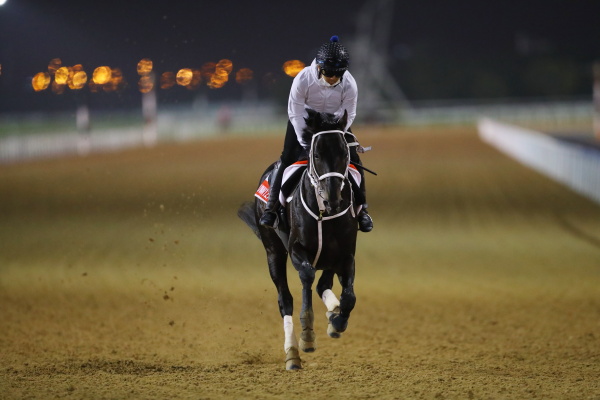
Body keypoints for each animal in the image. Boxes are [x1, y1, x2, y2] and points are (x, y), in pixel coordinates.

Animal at [238, 108, 360, 368]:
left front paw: (337, 320)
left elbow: (349, 297)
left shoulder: (346, 255)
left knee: (324, 285)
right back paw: (292, 353)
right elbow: (306, 277)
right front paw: (307, 336)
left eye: (345, 152)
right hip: (273, 252)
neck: (325, 213)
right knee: (285, 299)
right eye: (317, 154)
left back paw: (332, 312)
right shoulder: (296, 250)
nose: (333, 197)